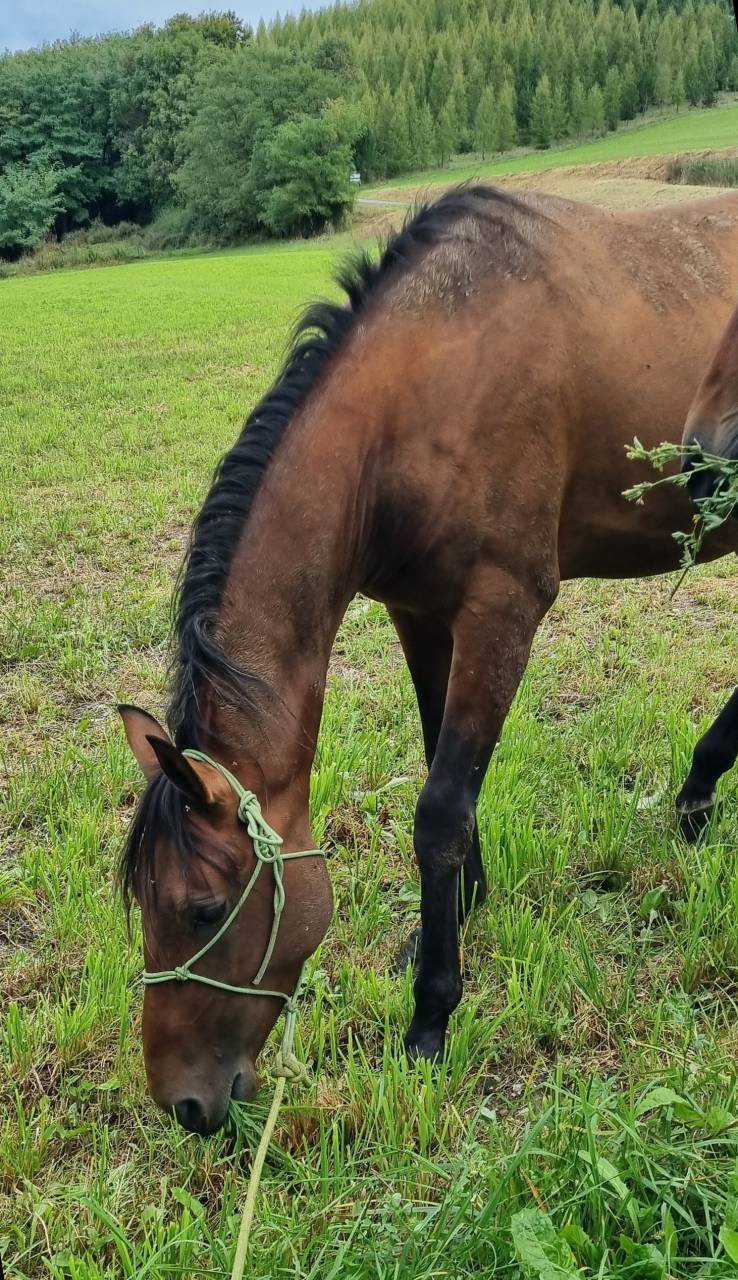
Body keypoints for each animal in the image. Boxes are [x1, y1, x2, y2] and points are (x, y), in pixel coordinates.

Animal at [119, 185, 738, 1134]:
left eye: (203, 909)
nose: (183, 1104)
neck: (421, 397)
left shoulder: (502, 610)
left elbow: (441, 810)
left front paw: (432, 1011)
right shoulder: (419, 612)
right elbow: (438, 762)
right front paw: (456, 916)